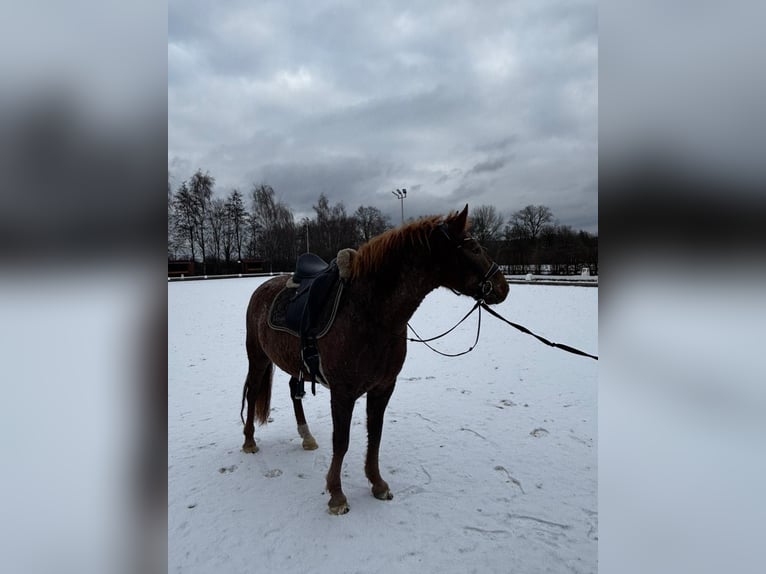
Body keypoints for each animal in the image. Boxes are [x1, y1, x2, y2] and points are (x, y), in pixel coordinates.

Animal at [240, 204, 509, 514]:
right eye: (474, 248)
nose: (503, 287)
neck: (370, 312)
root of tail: (263, 287)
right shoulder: (343, 393)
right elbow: (341, 442)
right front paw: (337, 495)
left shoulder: (383, 387)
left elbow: (375, 435)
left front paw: (377, 483)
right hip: (258, 357)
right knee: (253, 391)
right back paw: (249, 441)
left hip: (295, 364)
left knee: (293, 392)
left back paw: (306, 436)